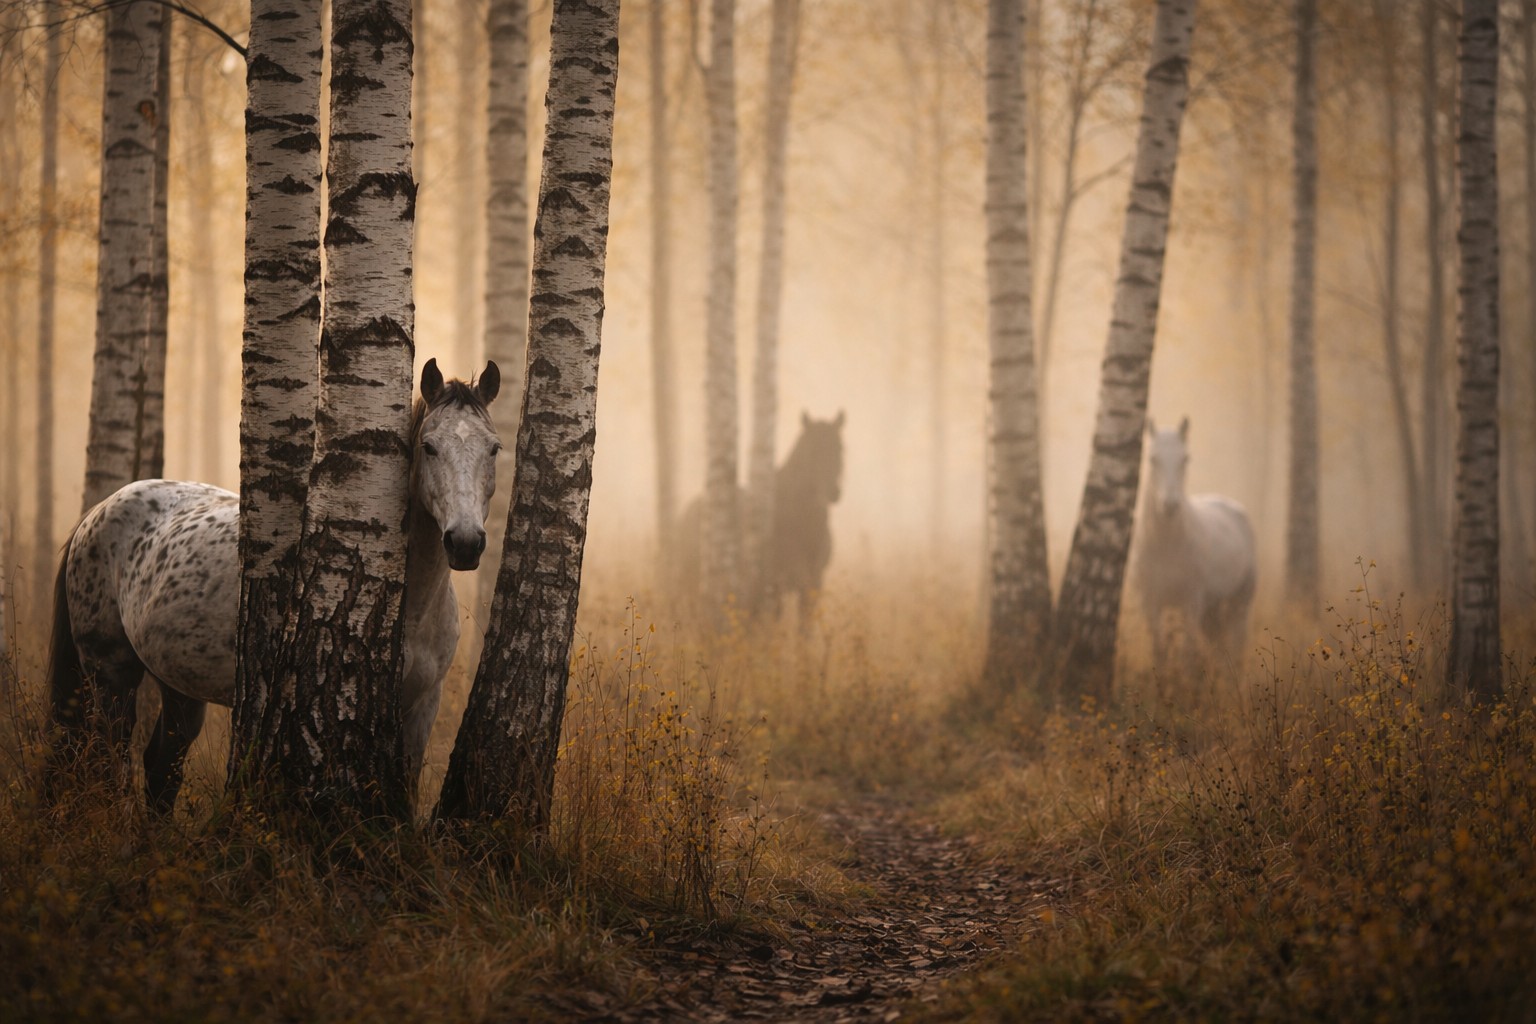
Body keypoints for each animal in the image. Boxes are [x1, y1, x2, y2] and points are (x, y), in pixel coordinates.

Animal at [46, 359, 502, 813]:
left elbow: (407, 791)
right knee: (111, 761)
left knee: (161, 771)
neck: (414, 608)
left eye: (494, 448)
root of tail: (98, 512)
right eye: (429, 447)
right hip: (111, 673)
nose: (464, 542)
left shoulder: (423, 706)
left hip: (178, 686)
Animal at [1131, 417, 1256, 675]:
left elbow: (1187, 655)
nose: (1170, 505)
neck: (1166, 547)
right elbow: (1159, 652)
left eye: (1185, 458)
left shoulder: (1192, 603)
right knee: (1219, 648)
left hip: (1239, 602)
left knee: (1236, 646)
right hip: (1212, 610)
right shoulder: (1150, 603)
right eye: (1153, 458)